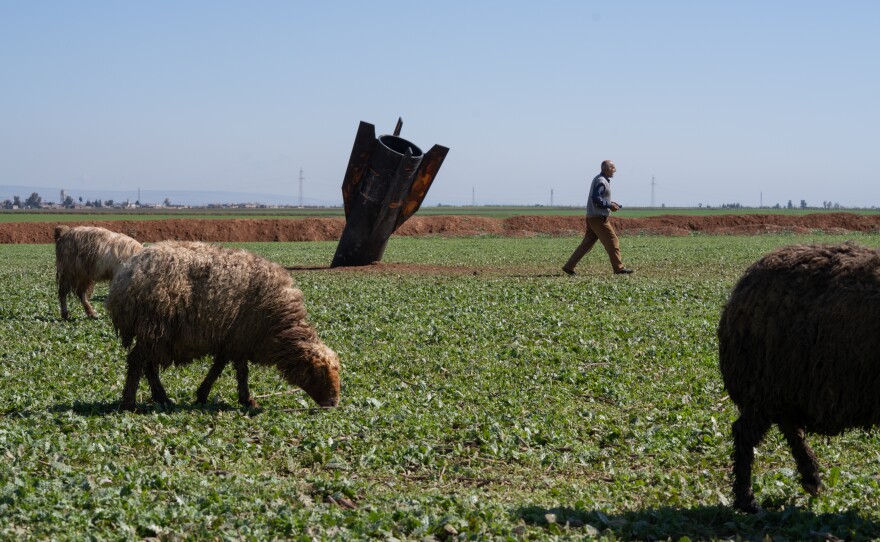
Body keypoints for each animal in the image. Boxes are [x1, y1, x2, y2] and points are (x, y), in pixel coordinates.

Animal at [105, 241, 340, 411]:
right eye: (320, 375)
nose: (333, 404)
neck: (279, 325)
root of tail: (126, 274)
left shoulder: (230, 339)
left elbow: (218, 367)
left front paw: (203, 394)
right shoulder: (241, 338)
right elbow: (241, 372)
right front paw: (247, 400)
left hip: (154, 333)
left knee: (148, 365)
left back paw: (161, 398)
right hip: (155, 327)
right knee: (137, 361)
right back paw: (130, 403)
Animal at [717, 242, 880, 513]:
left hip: (785, 389)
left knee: (790, 427)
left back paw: (810, 477)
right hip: (763, 387)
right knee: (745, 433)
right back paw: (747, 499)